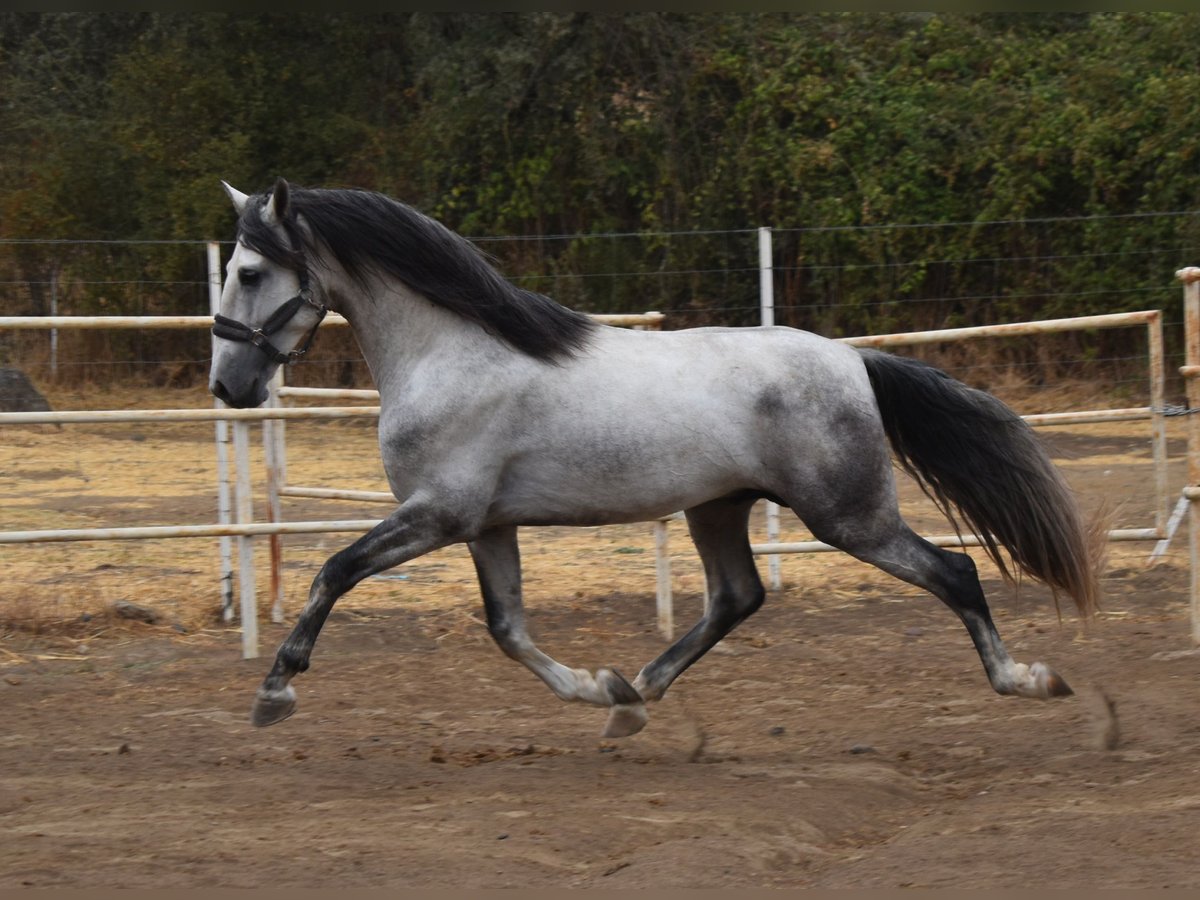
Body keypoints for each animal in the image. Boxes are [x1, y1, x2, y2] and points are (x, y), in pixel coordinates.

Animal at [208, 177, 1099, 739]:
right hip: (719, 507)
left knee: (956, 573)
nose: (228, 386)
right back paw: (634, 695)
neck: (451, 353)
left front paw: (276, 690)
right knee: (737, 597)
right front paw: (593, 686)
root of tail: (854, 360)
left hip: (849, 516)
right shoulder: (486, 525)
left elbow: (334, 571)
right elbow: (507, 629)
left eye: (249, 271)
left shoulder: (438, 515)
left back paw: (1030, 680)